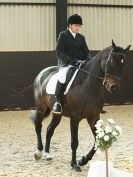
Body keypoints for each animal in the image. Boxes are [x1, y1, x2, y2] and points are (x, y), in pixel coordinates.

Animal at [31, 40, 131, 171]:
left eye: (123, 64)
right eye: (111, 61)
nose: (113, 87)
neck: (89, 87)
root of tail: (42, 73)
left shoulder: (93, 117)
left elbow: (98, 139)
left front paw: (83, 160)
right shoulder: (75, 118)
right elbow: (74, 142)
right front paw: (74, 164)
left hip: (57, 114)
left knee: (49, 130)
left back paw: (47, 154)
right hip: (41, 107)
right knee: (38, 125)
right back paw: (39, 152)